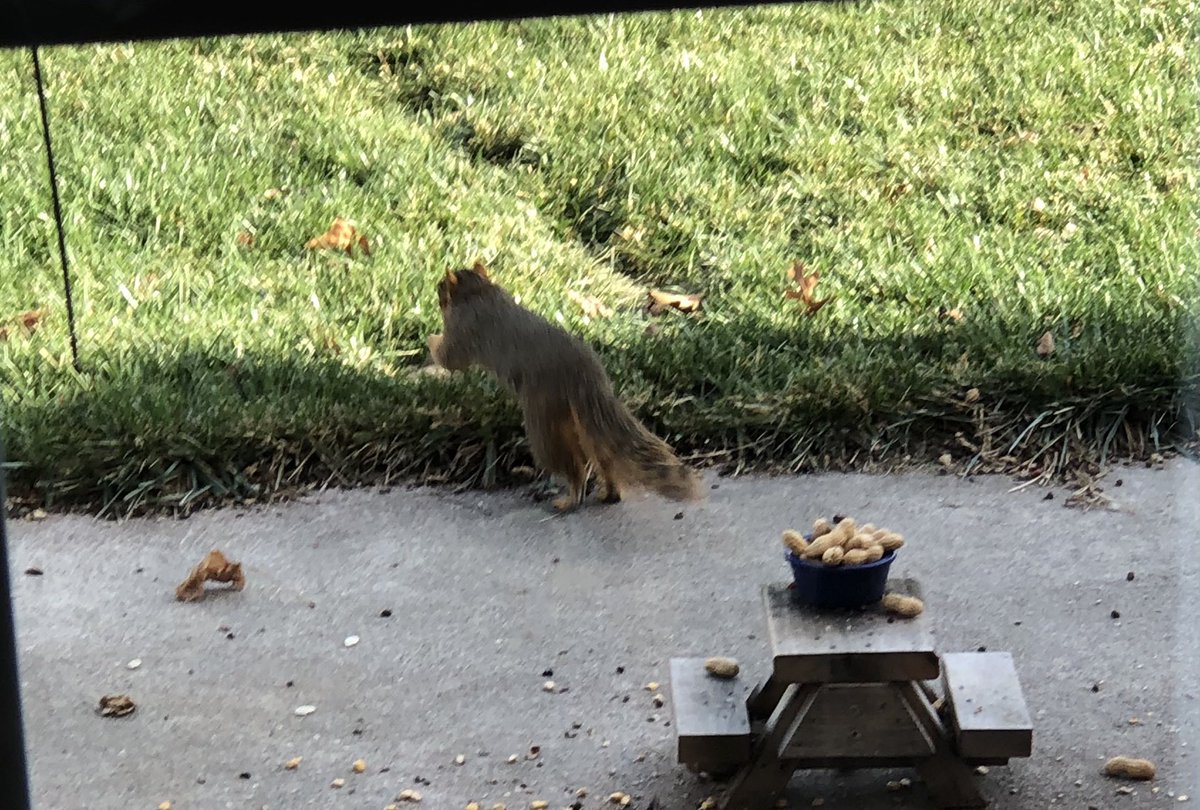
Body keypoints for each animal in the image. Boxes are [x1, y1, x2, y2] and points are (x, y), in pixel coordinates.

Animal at [426, 261, 703, 512]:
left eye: (442, 287)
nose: (435, 291)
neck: (479, 291)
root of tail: (586, 376)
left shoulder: (462, 330)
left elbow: (449, 358)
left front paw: (430, 339)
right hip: (575, 421)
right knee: (604, 459)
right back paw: (609, 493)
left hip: (544, 420)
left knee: (572, 467)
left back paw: (569, 500)